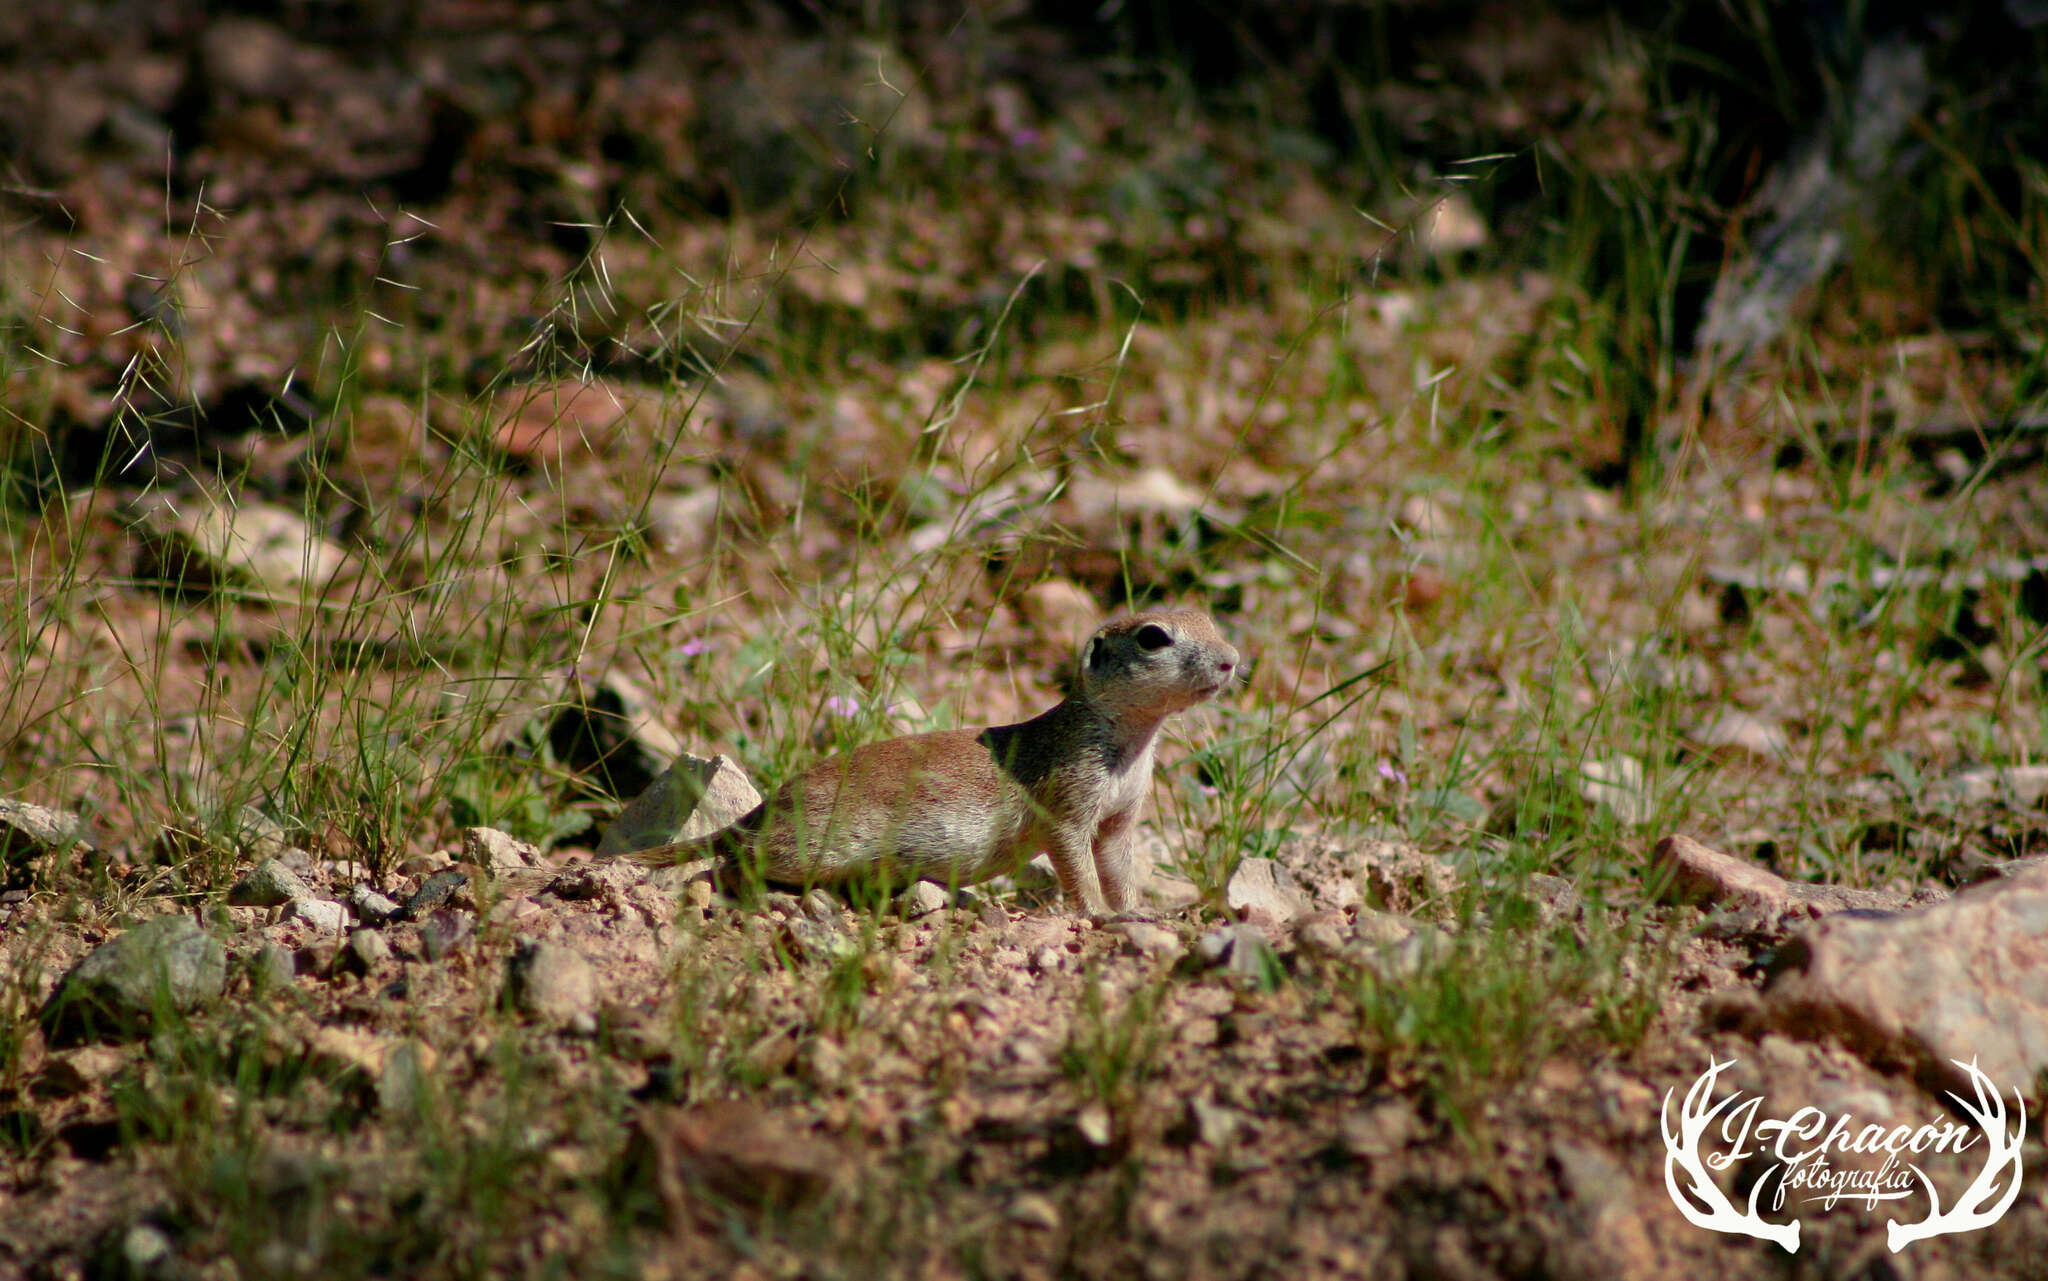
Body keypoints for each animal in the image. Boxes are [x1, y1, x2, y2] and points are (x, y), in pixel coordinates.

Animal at [552, 606, 1236, 914]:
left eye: (1210, 617)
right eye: (1153, 637)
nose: (1232, 660)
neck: (1131, 740)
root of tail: (764, 810)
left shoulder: (1121, 816)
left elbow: (1118, 863)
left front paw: (1137, 911)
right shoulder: (1068, 798)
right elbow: (1075, 860)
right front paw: (1095, 914)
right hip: (815, 844)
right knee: (730, 863)